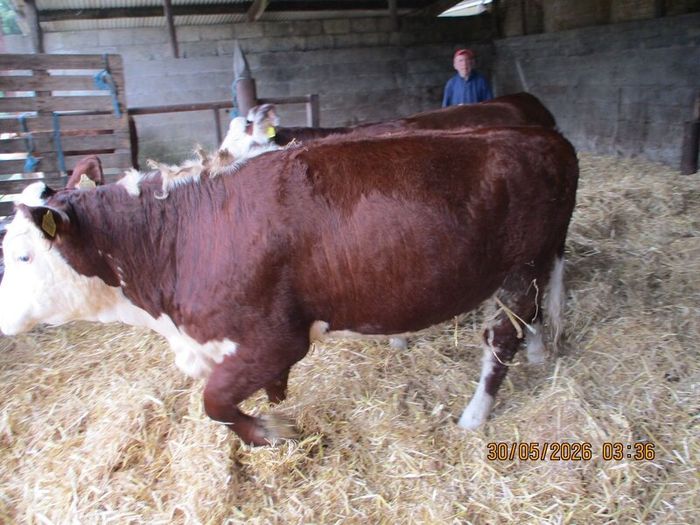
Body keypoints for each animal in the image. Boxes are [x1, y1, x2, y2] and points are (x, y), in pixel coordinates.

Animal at [0, 127, 578, 446]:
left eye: (23, 255)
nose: (3, 319)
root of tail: (542, 137)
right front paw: (275, 400)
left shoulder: (276, 338)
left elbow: (214, 402)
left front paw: (271, 432)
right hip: (538, 262)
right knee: (533, 319)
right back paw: (538, 355)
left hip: (519, 266)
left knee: (502, 337)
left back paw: (475, 416)